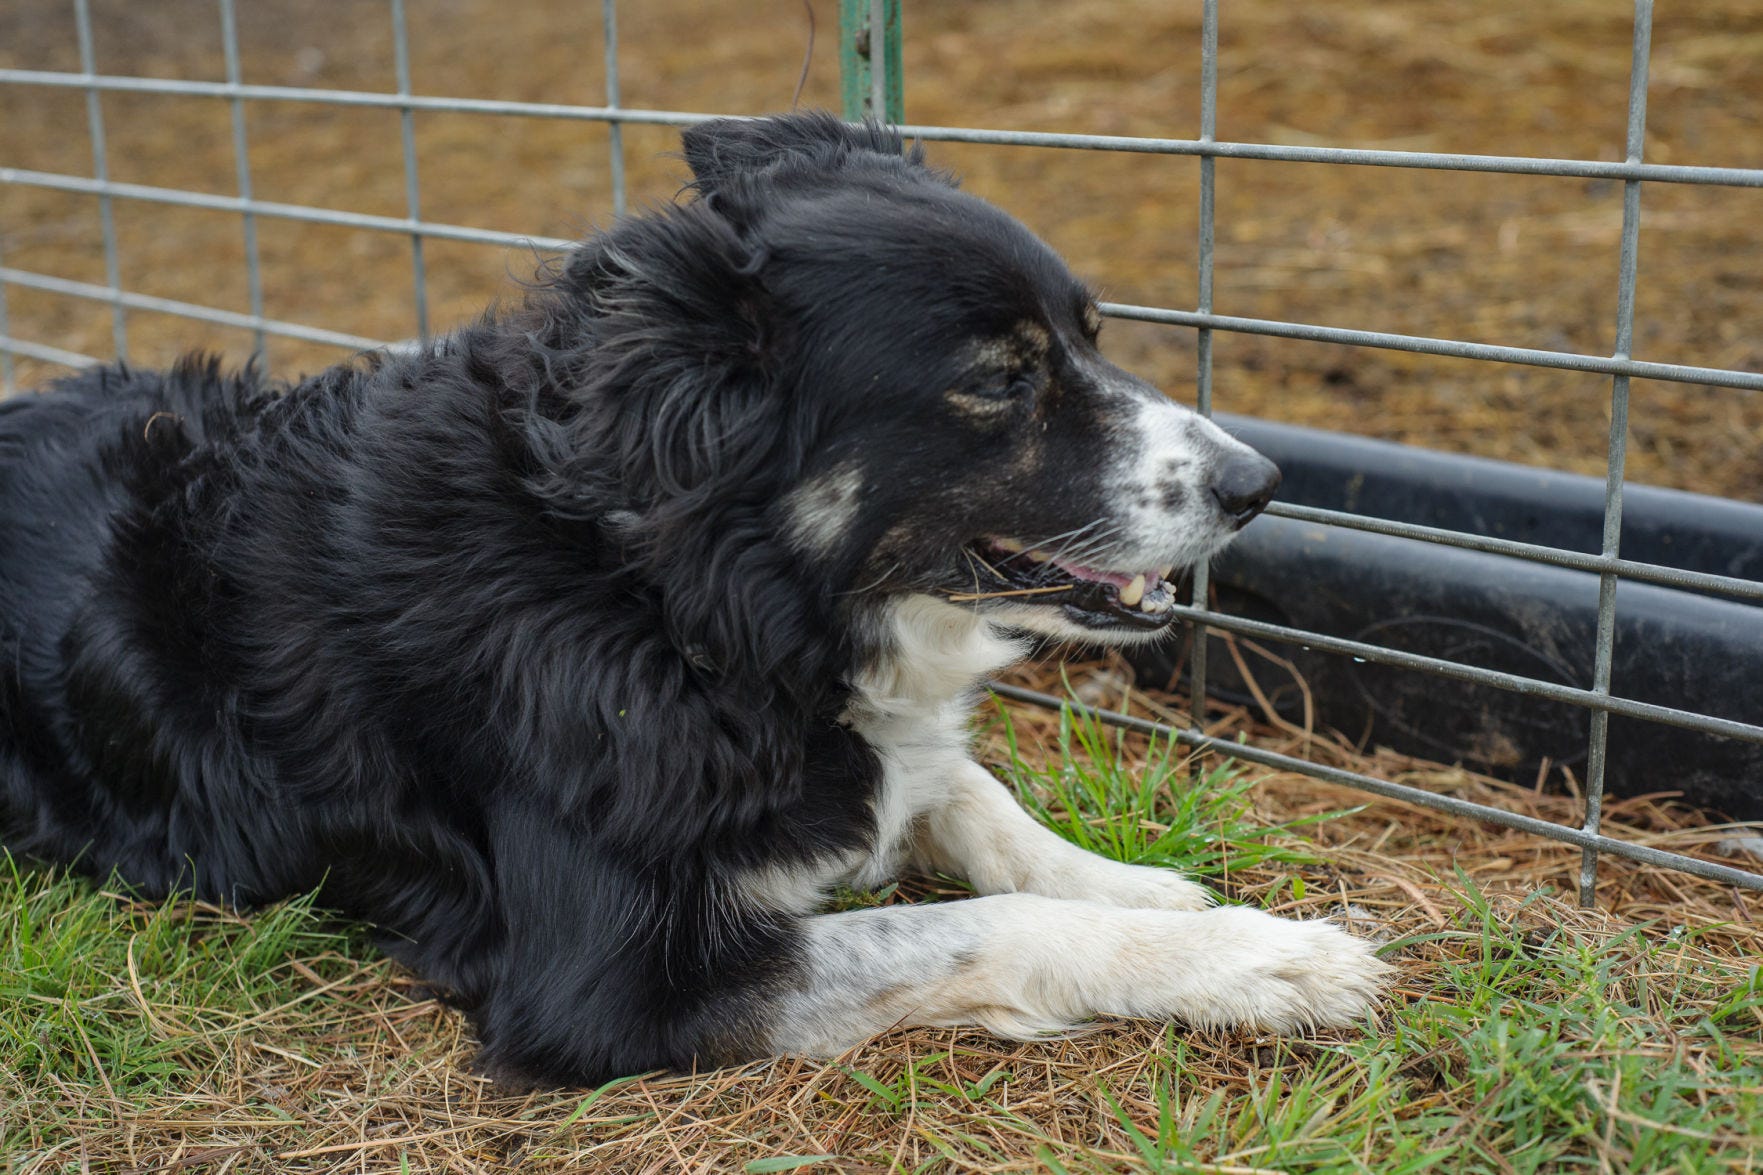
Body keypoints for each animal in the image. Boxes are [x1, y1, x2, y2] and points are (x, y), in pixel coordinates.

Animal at [3, 114, 1389, 1086]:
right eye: (1001, 378)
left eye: (1090, 334)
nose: (1260, 484)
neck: (685, 604)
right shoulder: (608, 986)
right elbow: (983, 925)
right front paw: (1259, 955)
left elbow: (965, 794)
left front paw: (1139, 883)